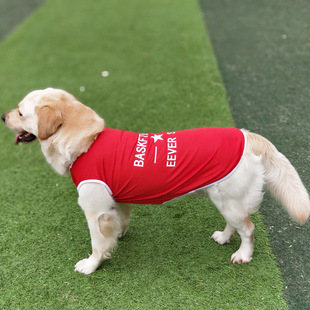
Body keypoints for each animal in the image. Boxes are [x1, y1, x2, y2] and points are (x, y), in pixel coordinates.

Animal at [2, 87, 310, 274]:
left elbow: (97, 243)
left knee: (248, 228)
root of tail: (248, 135)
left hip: (230, 201)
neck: (88, 142)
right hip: (225, 199)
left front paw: (91, 265)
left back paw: (243, 254)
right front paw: (119, 235)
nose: (3, 116)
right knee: (235, 224)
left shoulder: (95, 211)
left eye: (20, 112)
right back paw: (224, 237)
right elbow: (121, 220)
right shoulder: (116, 200)